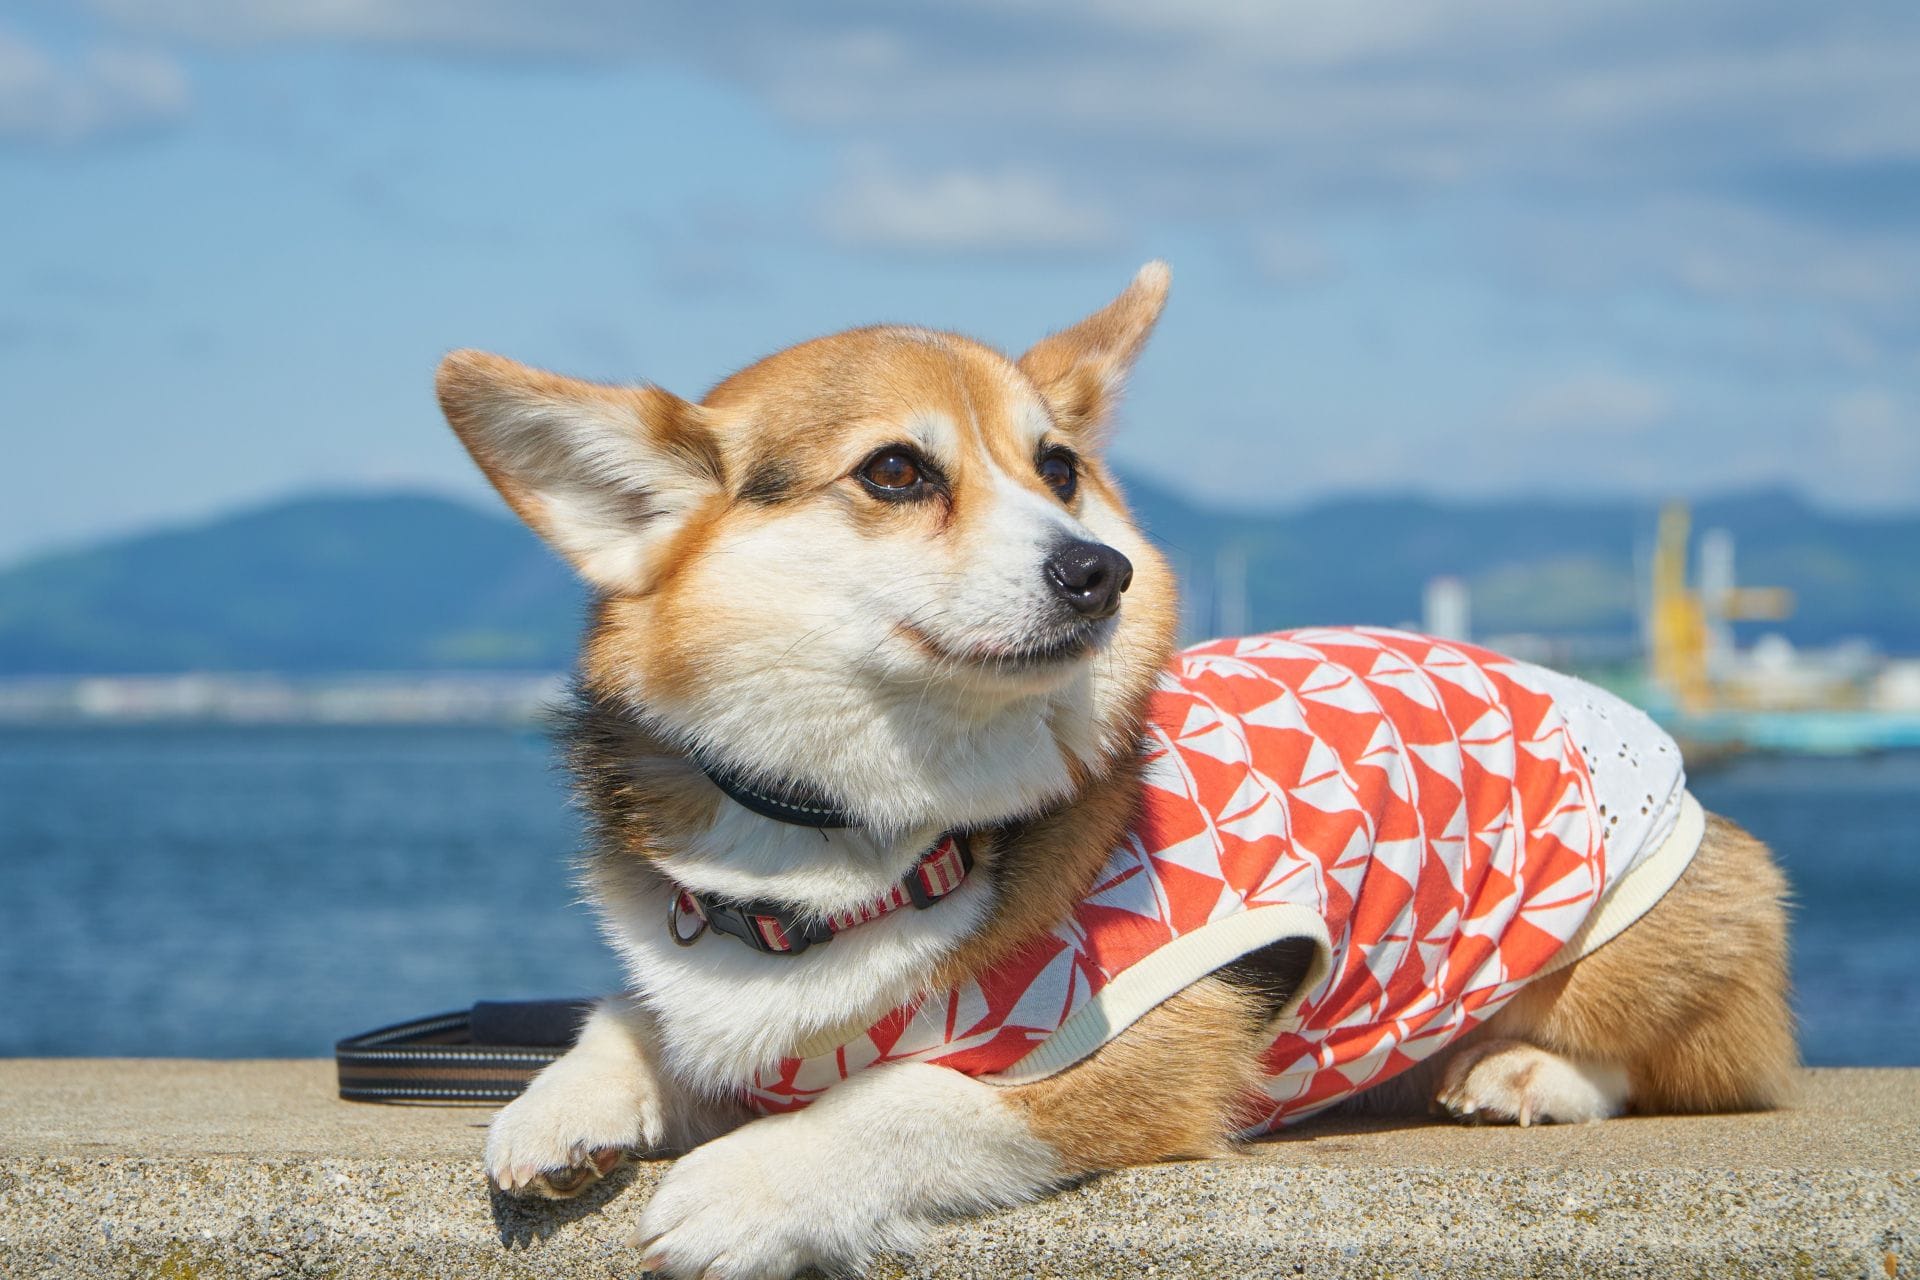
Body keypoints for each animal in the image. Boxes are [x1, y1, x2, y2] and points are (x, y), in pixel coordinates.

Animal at [432, 262, 1781, 1280]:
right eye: (895, 471)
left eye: (1059, 469)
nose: (1100, 570)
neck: (840, 838)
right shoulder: (724, 1004)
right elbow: (639, 1015)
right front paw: (562, 1102)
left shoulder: (1130, 1055)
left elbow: (907, 1099)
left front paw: (752, 1183)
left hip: (1647, 933)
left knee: (1679, 1046)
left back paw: (1518, 1068)